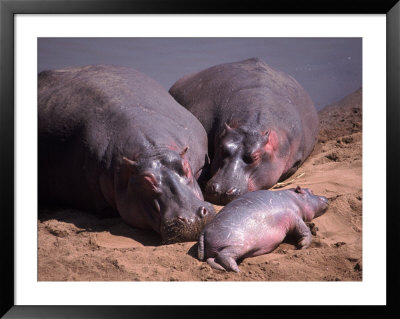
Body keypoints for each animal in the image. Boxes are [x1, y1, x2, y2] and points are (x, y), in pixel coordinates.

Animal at [198, 188, 330, 272]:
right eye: (311, 191)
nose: (326, 197)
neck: (295, 199)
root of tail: (203, 232)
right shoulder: (293, 216)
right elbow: (302, 228)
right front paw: (302, 246)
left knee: (211, 259)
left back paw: (223, 269)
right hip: (238, 245)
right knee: (224, 255)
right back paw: (236, 270)